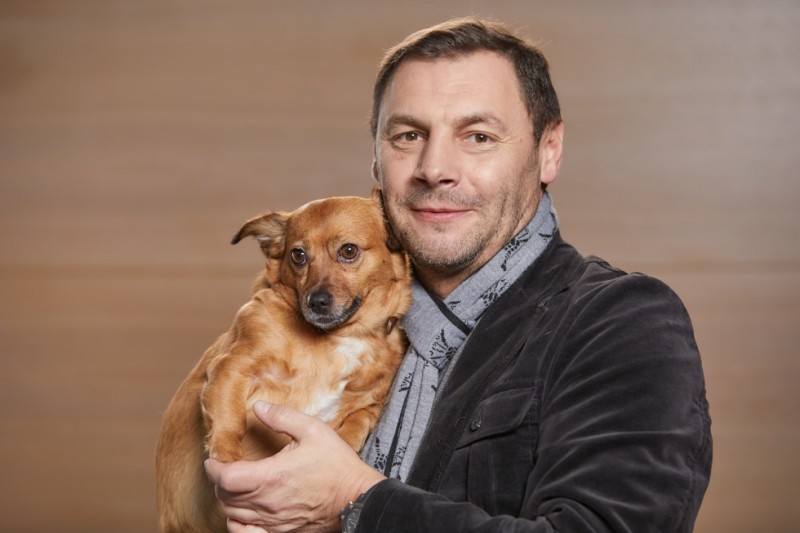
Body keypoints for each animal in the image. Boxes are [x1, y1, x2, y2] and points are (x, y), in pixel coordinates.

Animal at [155, 191, 411, 533]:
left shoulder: (370, 402)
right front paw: (227, 456)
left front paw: (344, 442)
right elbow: (229, 418)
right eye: (298, 256)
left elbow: (357, 423)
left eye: (348, 251)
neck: (337, 337)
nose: (316, 301)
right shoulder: (232, 366)